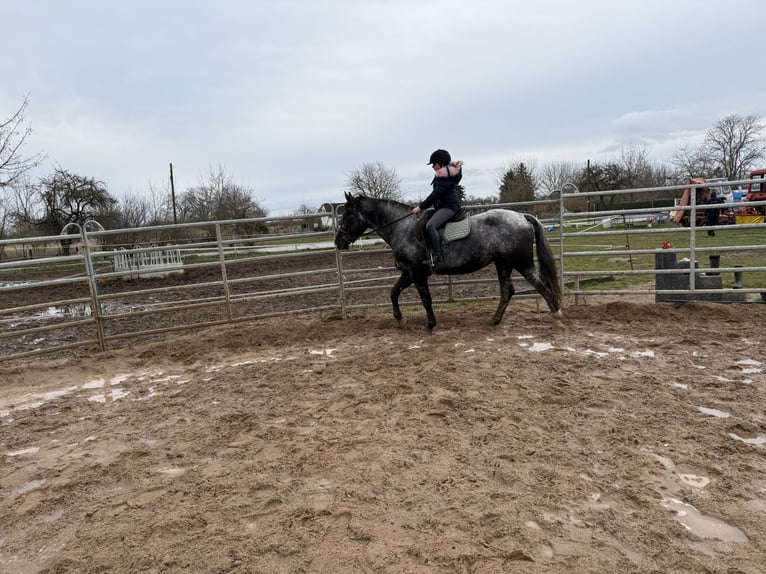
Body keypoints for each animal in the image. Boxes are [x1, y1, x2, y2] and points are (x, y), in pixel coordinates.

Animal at [334, 192, 564, 330]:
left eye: (347, 216)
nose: (338, 242)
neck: (403, 228)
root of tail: (522, 216)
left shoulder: (417, 273)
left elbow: (425, 299)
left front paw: (430, 324)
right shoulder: (408, 273)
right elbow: (393, 292)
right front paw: (400, 318)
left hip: (522, 263)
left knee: (541, 285)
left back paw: (557, 316)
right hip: (503, 263)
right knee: (507, 291)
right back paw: (495, 320)